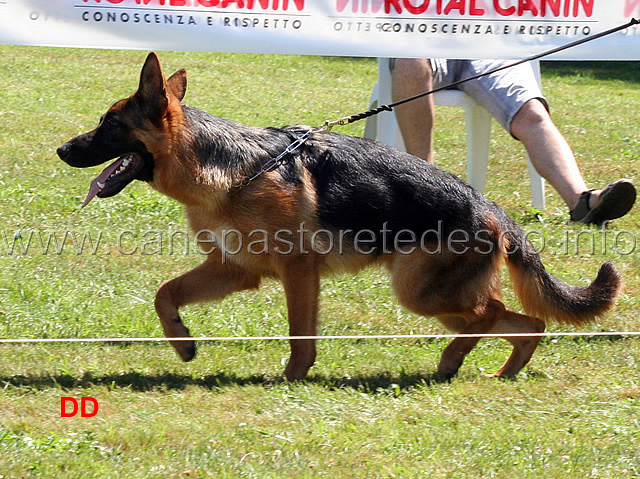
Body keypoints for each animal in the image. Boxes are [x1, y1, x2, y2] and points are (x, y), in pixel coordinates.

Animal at [58, 53, 620, 382]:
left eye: (109, 124)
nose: (62, 150)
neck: (235, 168)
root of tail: (492, 208)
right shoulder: (235, 269)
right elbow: (165, 293)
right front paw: (183, 342)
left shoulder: (297, 272)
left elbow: (299, 333)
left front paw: (293, 378)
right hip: (437, 299)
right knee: (528, 322)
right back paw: (498, 370)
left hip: (421, 294)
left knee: (491, 315)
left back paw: (451, 360)